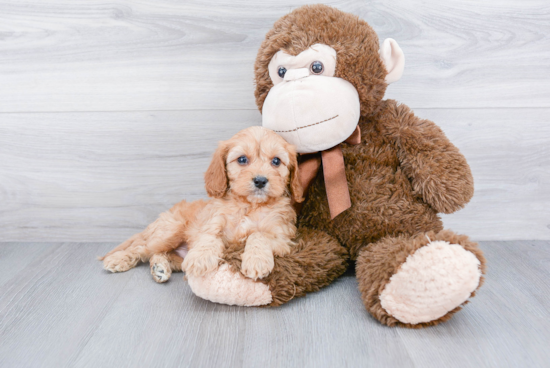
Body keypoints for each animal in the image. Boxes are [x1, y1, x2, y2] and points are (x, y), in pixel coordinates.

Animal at [101, 126, 304, 282]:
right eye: (242, 159)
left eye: (276, 161)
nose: (260, 181)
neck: (249, 205)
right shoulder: (211, 222)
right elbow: (209, 237)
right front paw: (200, 259)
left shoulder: (284, 237)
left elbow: (258, 234)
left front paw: (256, 260)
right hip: (170, 232)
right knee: (141, 248)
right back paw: (119, 259)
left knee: (158, 254)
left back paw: (159, 267)